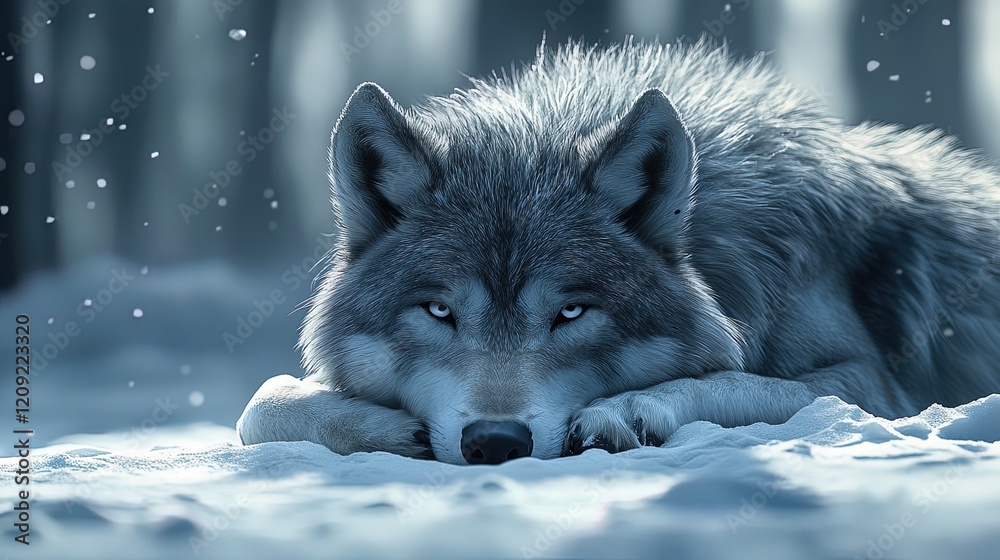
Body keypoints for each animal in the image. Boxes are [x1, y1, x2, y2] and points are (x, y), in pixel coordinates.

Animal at [237, 39, 1000, 465]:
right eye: (438, 311)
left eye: (573, 313)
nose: (496, 442)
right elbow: (260, 405)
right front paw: (384, 427)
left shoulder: (876, 385)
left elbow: (739, 381)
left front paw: (632, 408)